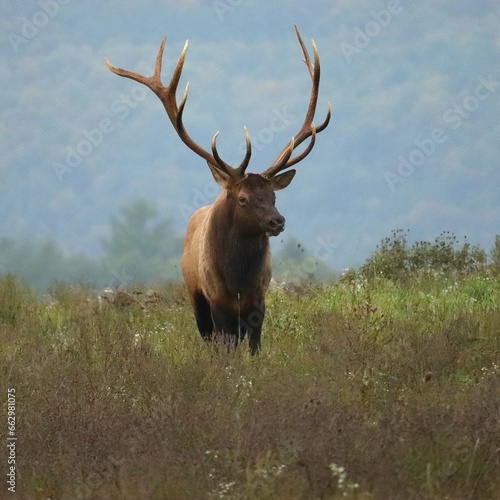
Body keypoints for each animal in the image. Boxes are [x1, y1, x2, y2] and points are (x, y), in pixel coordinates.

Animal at [104, 25, 332, 354]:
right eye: (243, 198)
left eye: (273, 195)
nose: (278, 221)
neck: (238, 282)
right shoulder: (216, 301)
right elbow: (225, 348)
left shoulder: (258, 300)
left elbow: (255, 347)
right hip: (195, 296)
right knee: (210, 337)